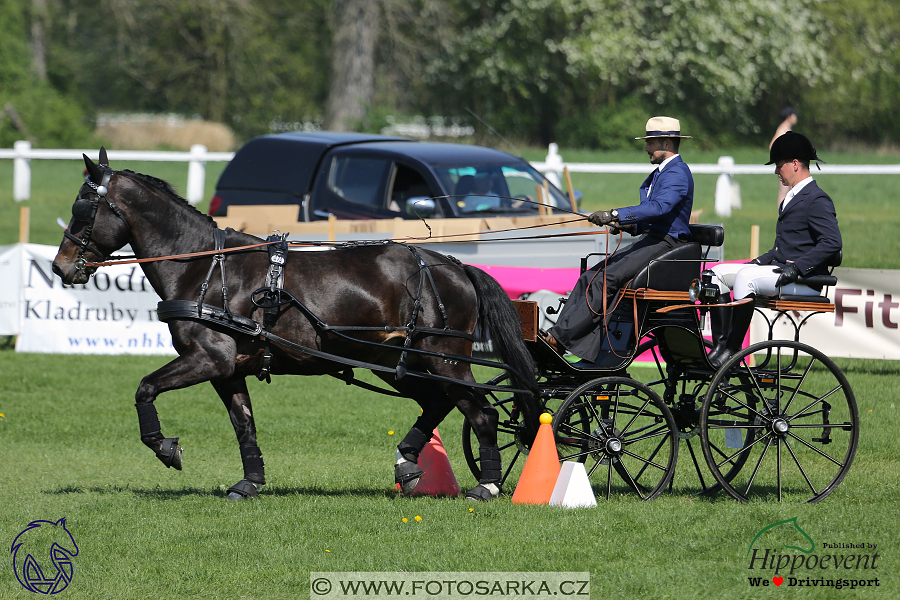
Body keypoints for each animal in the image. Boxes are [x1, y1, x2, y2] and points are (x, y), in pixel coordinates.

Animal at [52, 150, 536, 502]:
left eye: (83, 208)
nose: (60, 267)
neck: (204, 268)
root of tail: (453, 264)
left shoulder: (207, 359)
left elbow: (145, 388)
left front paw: (167, 449)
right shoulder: (228, 370)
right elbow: (243, 425)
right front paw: (250, 482)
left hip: (444, 358)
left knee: (482, 412)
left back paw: (487, 486)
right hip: (396, 361)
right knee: (437, 403)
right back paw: (407, 463)